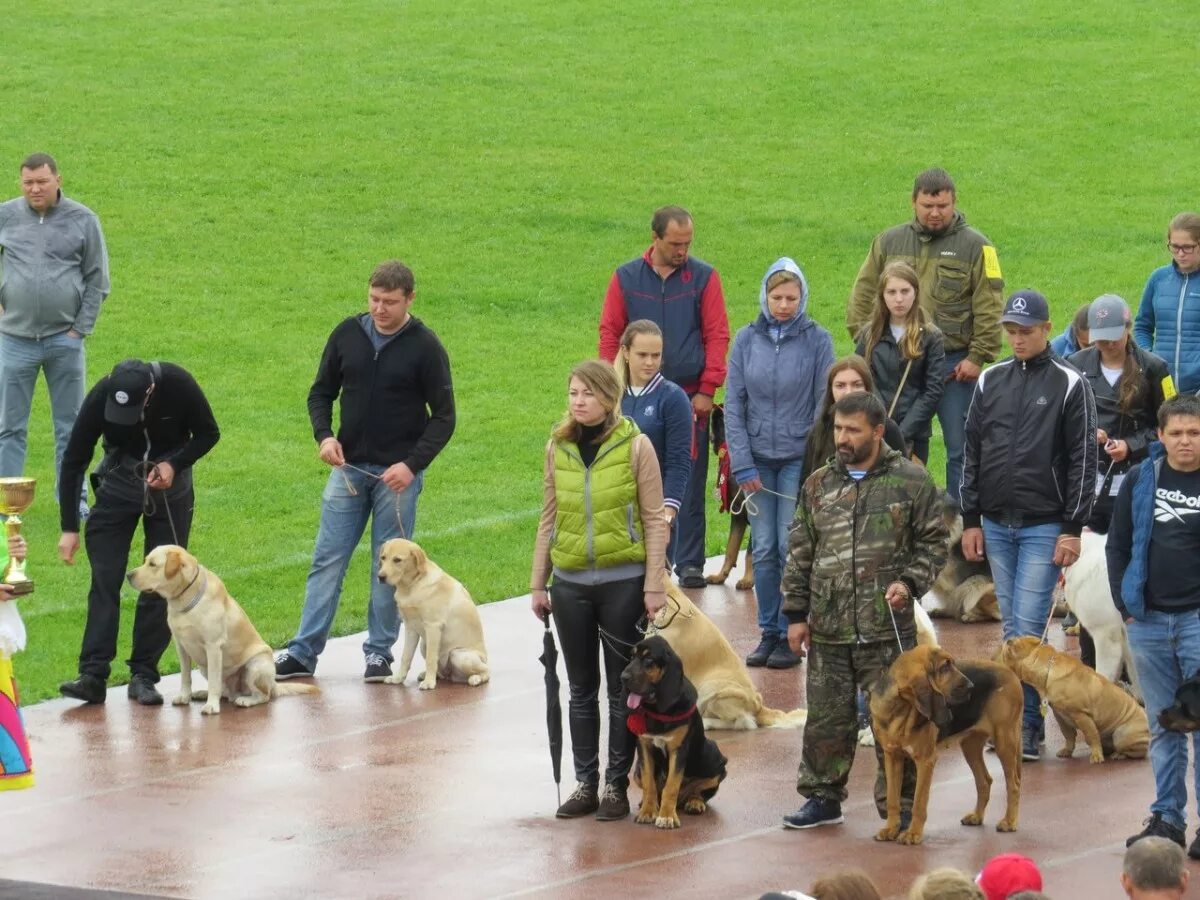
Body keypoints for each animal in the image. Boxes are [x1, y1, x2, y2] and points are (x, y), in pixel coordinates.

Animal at [127, 547, 319, 715]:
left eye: (152, 564)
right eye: (145, 561)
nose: (129, 575)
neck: (185, 598)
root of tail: (274, 684)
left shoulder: (213, 646)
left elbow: (214, 682)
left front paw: (211, 706)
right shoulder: (181, 646)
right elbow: (185, 676)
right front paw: (184, 696)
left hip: (255, 666)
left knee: (263, 696)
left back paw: (245, 700)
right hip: (204, 667)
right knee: (225, 692)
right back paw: (202, 694)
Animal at [374, 540, 487, 696]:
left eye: (397, 560)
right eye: (383, 558)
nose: (381, 577)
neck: (412, 585)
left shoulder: (433, 626)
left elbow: (431, 659)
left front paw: (429, 683)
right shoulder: (410, 627)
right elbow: (406, 656)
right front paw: (398, 678)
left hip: (459, 655)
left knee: (486, 671)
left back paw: (475, 678)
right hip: (424, 644)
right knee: (442, 672)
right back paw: (429, 675)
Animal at [873, 648, 1022, 844]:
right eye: (944, 667)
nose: (971, 686)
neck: (901, 710)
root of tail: (1010, 671)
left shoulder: (926, 761)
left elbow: (919, 801)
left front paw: (913, 833)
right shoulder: (892, 757)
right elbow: (892, 799)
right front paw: (890, 829)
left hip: (1005, 741)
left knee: (1014, 784)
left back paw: (1009, 821)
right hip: (970, 745)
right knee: (984, 781)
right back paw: (977, 816)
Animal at [998, 638, 1147, 763]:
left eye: (1006, 652)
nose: (1006, 641)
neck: (1048, 668)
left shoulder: (1081, 715)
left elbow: (1092, 735)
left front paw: (1096, 756)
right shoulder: (1061, 716)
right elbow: (1068, 735)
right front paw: (1067, 751)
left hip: (1121, 734)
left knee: (1136, 752)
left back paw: (1119, 754)